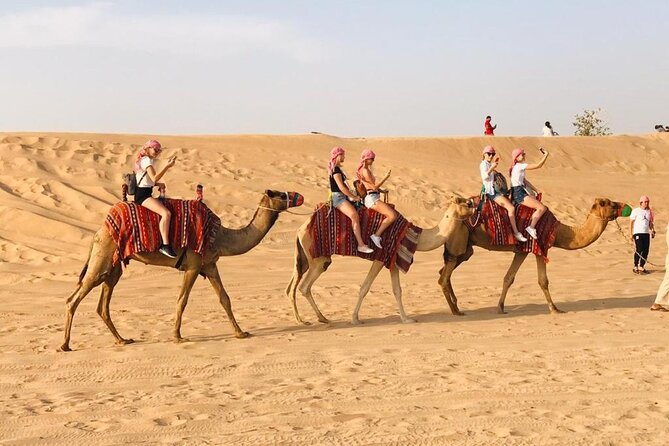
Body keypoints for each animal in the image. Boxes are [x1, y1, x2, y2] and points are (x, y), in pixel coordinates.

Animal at [60, 190, 304, 351]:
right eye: (279, 194)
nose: (298, 196)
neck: (220, 236)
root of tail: (99, 231)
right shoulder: (194, 265)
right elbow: (182, 300)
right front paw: (177, 336)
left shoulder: (210, 265)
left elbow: (225, 298)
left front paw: (241, 332)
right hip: (102, 257)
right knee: (75, 297)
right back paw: (65, 345)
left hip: (113, 265)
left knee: (103, 304)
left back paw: (122, 340)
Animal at [286, 196, 475, 325]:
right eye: (465, 203)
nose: (474, 205)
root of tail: (300, 229)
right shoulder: (380, 257)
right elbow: (364, 287)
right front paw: (355, 319)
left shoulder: (393, 260)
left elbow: (397, 290)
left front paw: (406, 319)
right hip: (317, 258)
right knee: (304, 286)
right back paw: (313, 319)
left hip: (309, 258)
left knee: (298, 285)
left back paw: (320, 318)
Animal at [437, 198, 626, 315]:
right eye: (608, 203)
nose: (623, 204)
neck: (559, 231)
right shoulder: (540, 247)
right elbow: (543, 280)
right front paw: (555, 309)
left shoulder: (522, 250)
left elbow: (509, 278)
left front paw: (500, 307)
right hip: (459, 240)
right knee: (444, 276)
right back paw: (455, 311)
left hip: (466, 248)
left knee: (444, 271)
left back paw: (456, 304)